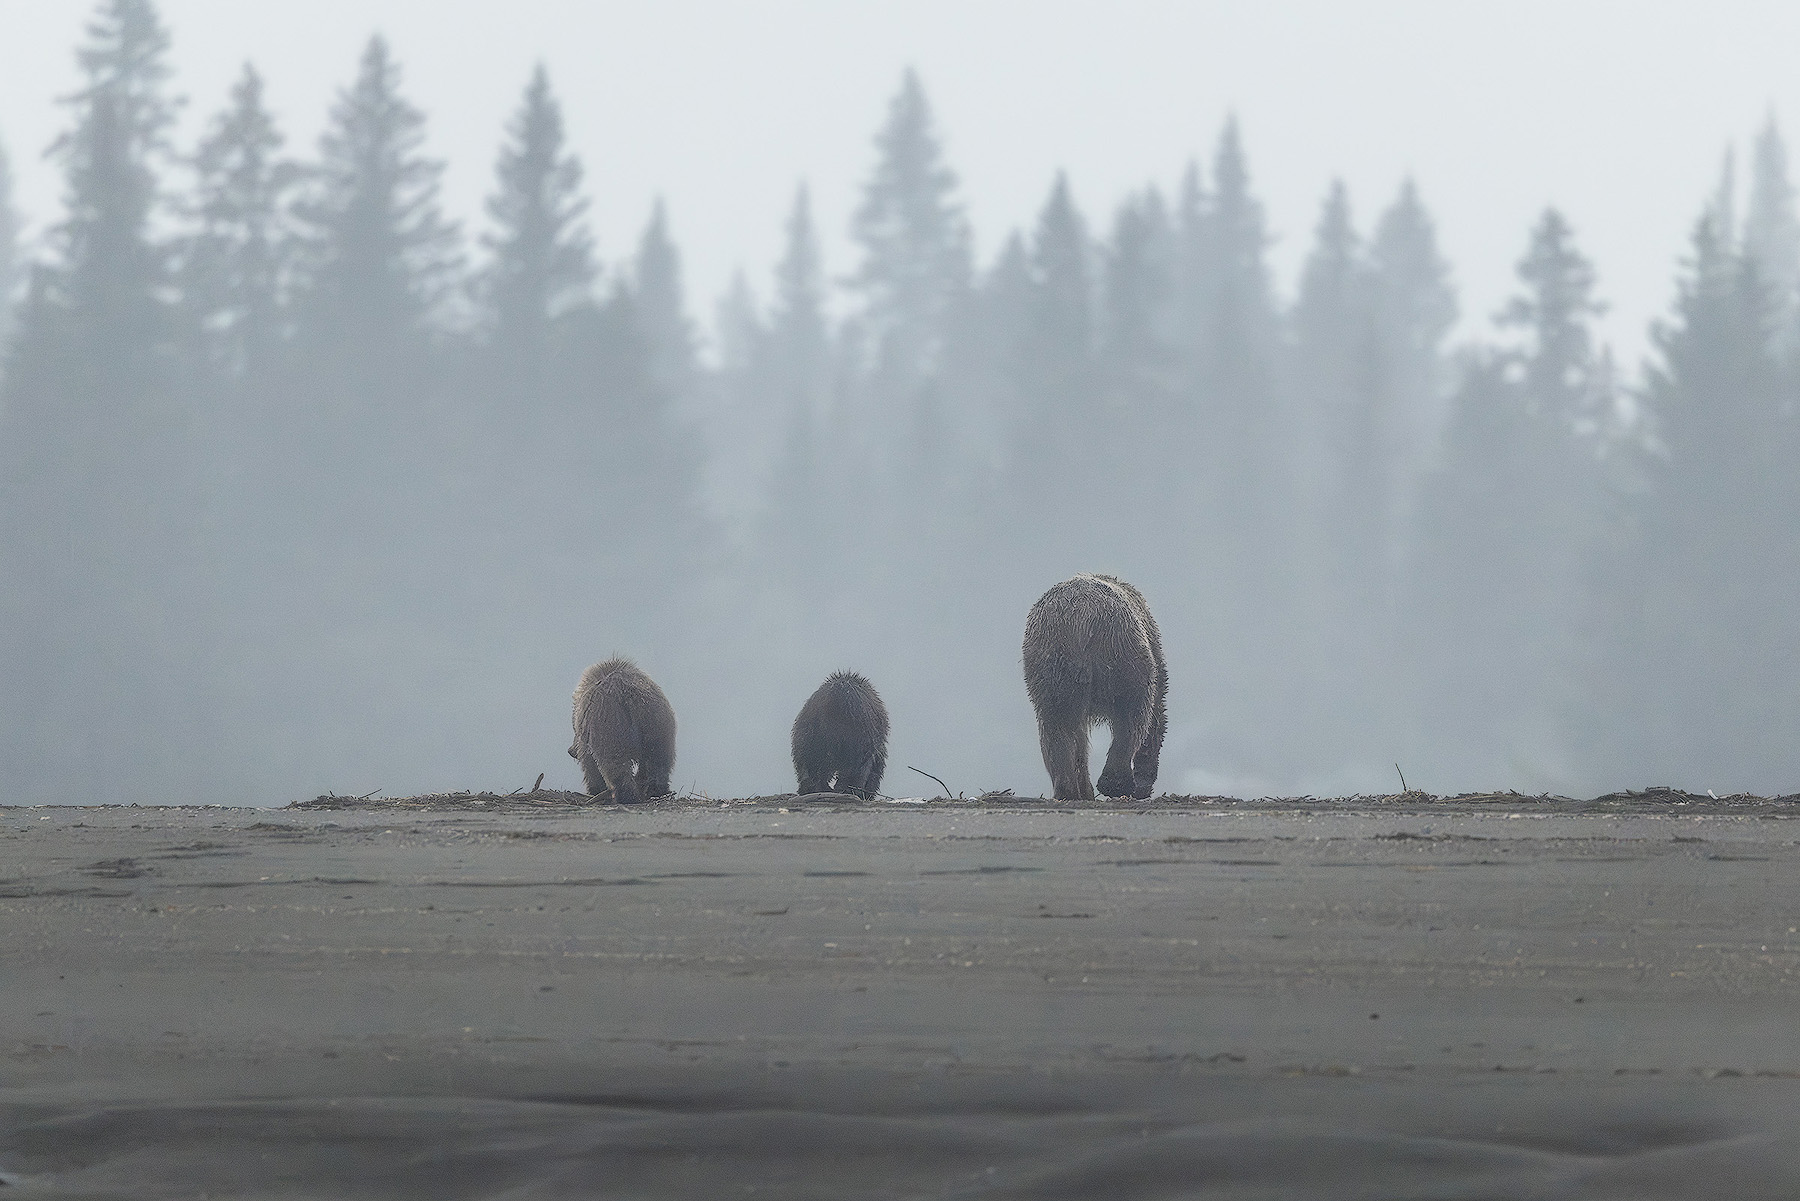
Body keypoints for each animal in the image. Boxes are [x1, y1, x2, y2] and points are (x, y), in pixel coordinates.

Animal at [568, 658, 676, 805]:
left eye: (573, 726)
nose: (571, 751)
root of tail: (632, 698)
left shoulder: (588, 735)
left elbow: (590, 764)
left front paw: (594, 789)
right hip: (658, 725)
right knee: (658, 761)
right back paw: (657, 791)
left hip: (610, 725)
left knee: (615, 765)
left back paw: (625, 796)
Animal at [1022, 574, 1167, 801]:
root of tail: (1083, 618)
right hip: (1122, 654)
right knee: (1131, 717)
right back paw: (1116, 783)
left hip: (1051, 663)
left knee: (1055, 725)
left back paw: (1069, 789)